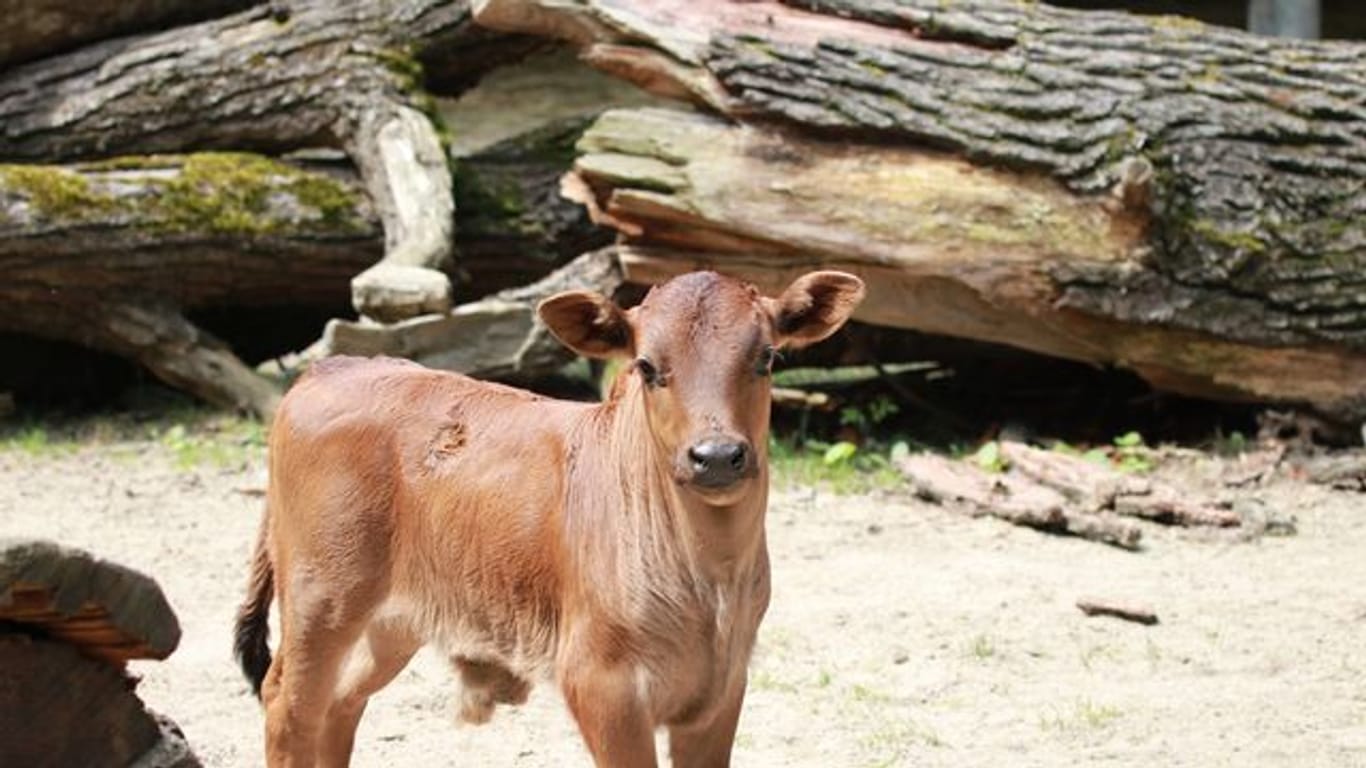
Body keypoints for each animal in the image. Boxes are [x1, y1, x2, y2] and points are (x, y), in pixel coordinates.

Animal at [232, 267, 863, 759]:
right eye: (645, 366)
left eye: (767, 358)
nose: (715, 456)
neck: (710, 580)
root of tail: (329, 369)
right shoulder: (601, 685)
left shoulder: (722, 690)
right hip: (321, 599)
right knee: (288, 704)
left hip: (390, 623)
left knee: (340, 706)